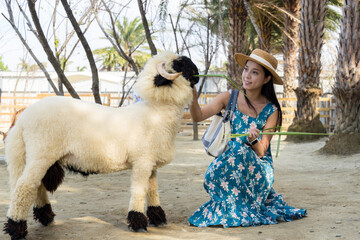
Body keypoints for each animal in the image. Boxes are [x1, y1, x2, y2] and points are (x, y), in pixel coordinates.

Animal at [2, 51, 200, 239]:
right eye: (180, 64)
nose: (198, 73)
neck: (156, 113)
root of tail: (23, 118)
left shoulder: (151, 163)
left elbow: (152, 190)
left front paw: (157, 218)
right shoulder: (142, 162)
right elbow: (139, 190)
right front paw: (138, 222)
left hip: (41, 156)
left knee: (37, 186)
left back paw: (45, 217)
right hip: (41, 152)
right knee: (24, 187)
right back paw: (16, 228)